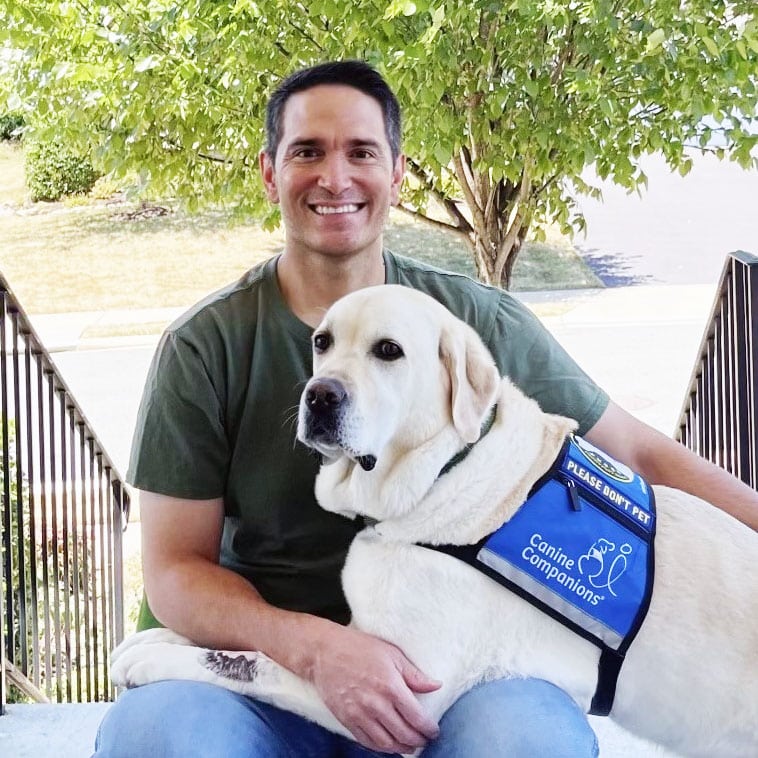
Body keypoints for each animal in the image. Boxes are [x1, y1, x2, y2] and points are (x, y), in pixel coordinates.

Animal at [111, 284, 758, 756]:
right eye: (322, 341)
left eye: (388, 351)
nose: (319, 395)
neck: (443, 471)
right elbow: (280, 632)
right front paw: (162, 635)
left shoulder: (400, 691)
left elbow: (258, 662)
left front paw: (155, 657)